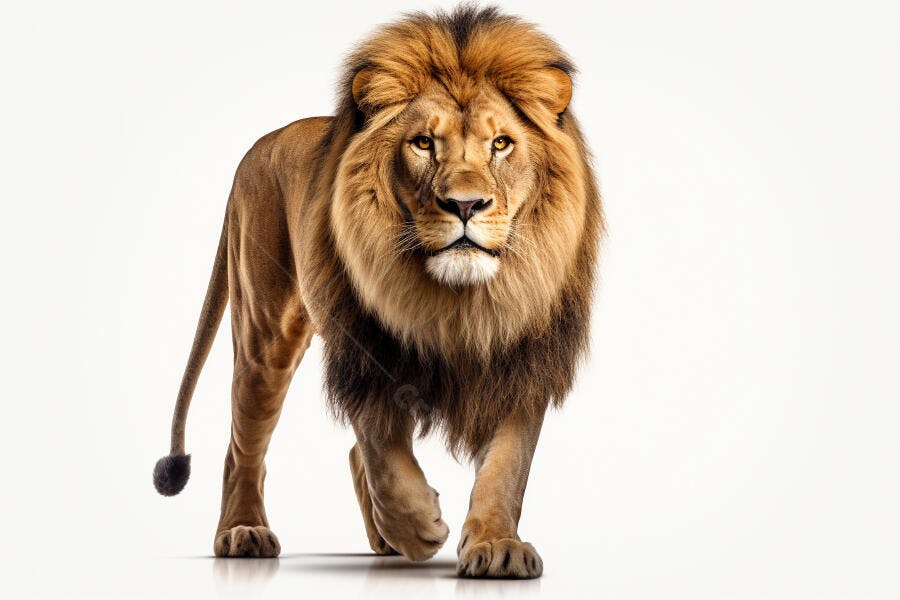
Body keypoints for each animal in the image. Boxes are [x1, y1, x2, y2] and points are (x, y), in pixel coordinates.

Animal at [153, 5, 602, 579]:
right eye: (423, 143)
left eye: (501, 144)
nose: (465, 204)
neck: (461, 303)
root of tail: (259, 146)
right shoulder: (365, 349)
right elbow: (383, 454)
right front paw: (419, 527)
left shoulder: (521, 358)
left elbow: (507, 465)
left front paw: (497, 545)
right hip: (263, 332)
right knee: (243, 445)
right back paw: (243, 531)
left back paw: (383, 542)